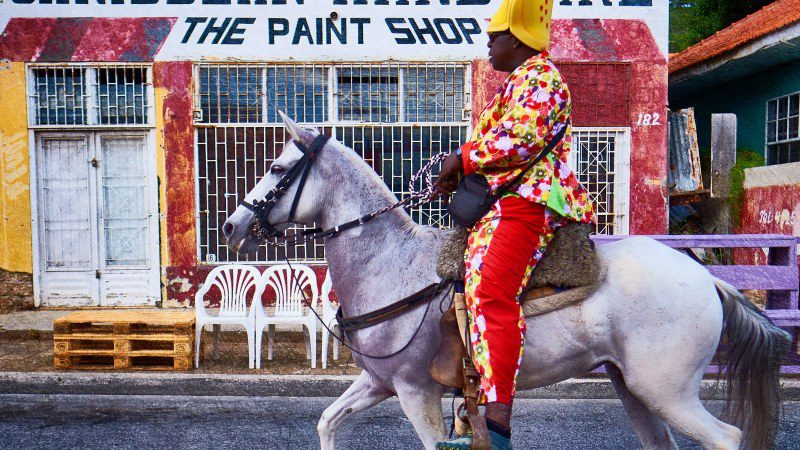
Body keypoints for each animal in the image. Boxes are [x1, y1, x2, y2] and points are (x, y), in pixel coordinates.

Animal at [222, 116, 792, 450]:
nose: (231, 226)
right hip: (635, 390)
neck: (390, 262)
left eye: (277, 167)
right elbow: (327, 421)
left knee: (727, 438)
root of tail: (709, 281)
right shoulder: (380, 382)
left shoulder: (415, 391)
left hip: (668, 393)